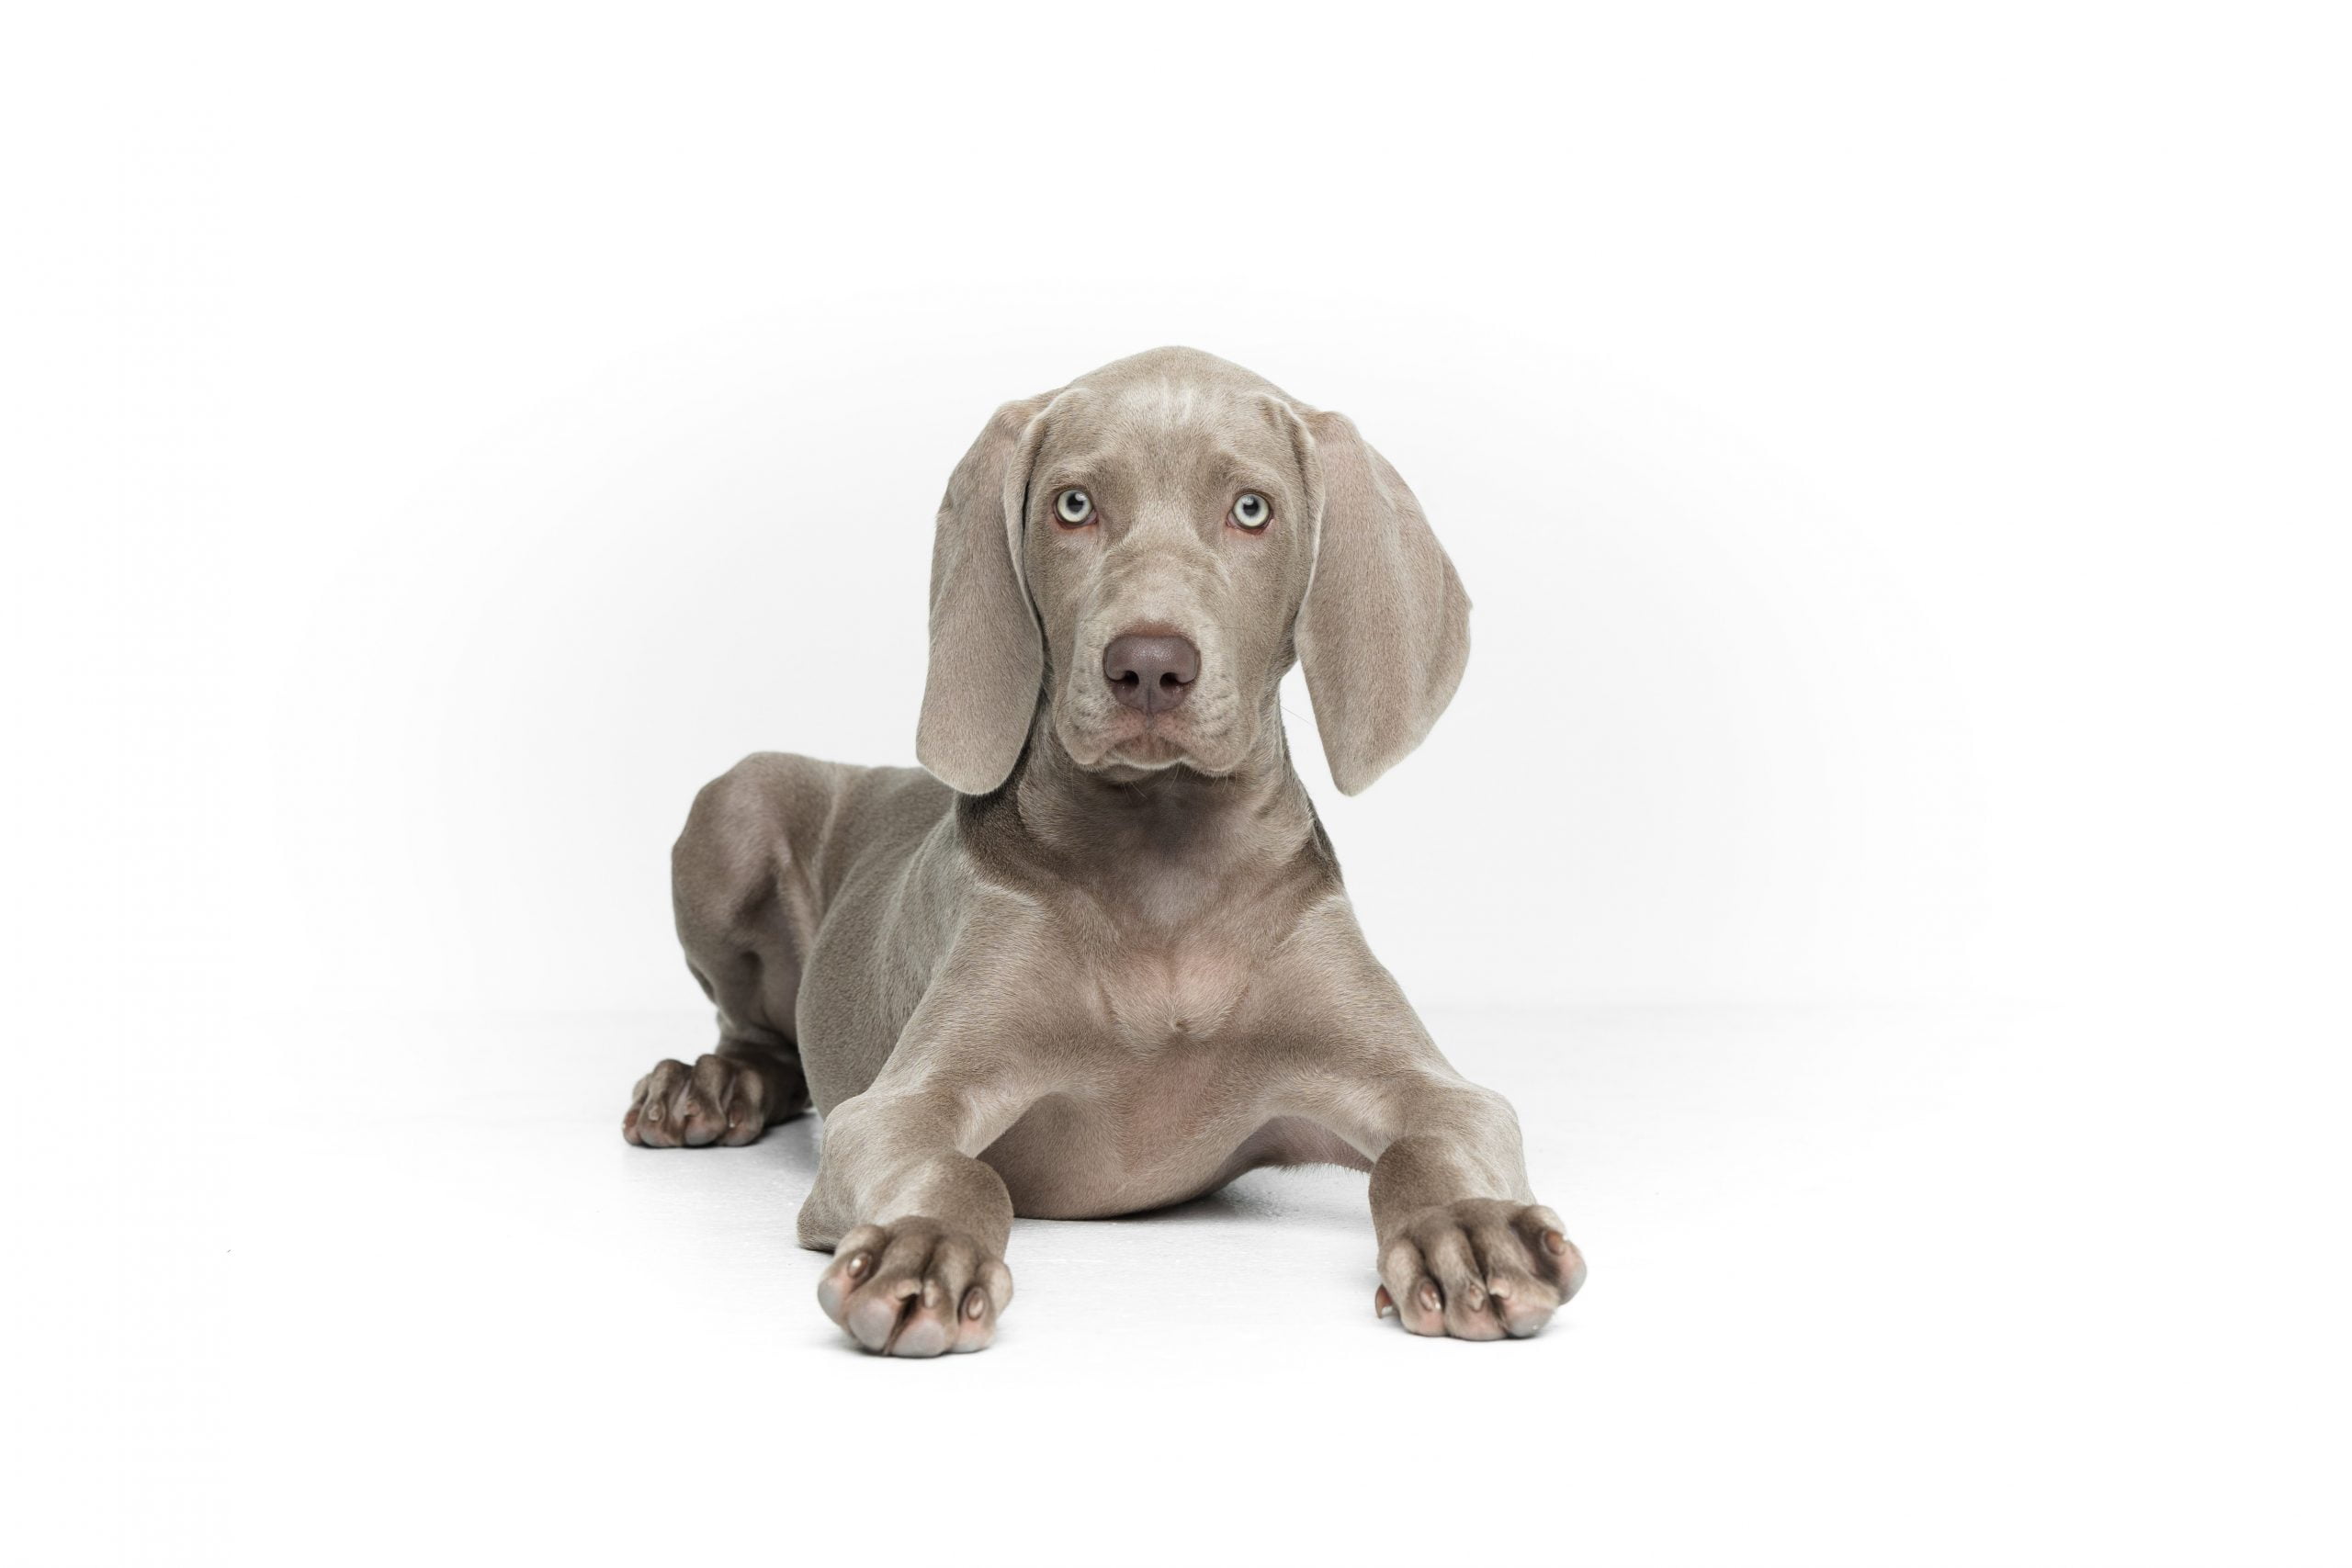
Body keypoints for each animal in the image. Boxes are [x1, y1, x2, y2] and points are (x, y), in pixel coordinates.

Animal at [624, 347, 1586, 1354]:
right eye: (1074, 505)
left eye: (1252, 509)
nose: (1150, 665)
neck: (1163, 865)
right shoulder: (894, 1108)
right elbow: (961, 1167)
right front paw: (925, 1245)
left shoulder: (1435, 1086)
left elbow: (1429, 1137)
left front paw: (1468, 1230)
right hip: (735, 799)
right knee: (758, 1032)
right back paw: (711, 1083)